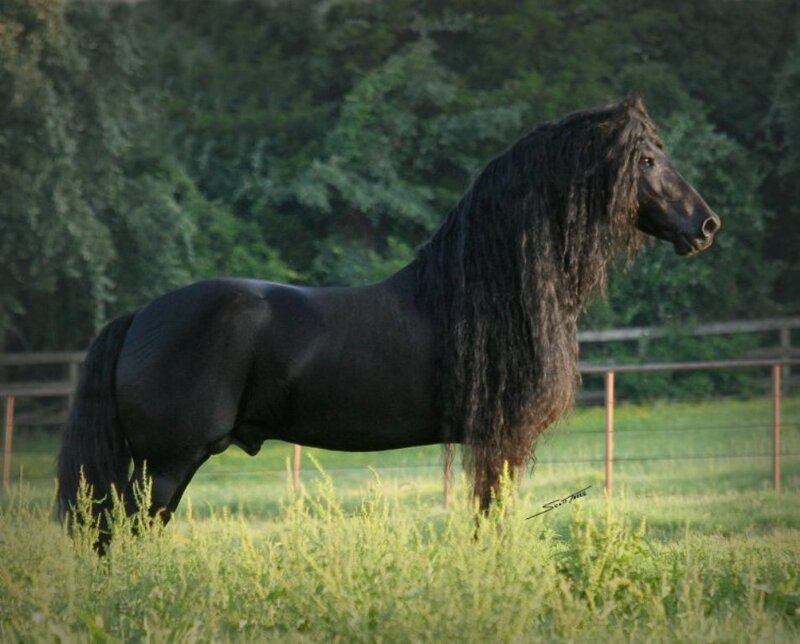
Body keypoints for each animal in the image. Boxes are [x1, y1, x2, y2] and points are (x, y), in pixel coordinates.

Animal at [57, 96, 720, 543]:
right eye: (648, 159)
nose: (706, 224)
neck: (487, 291)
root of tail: (141, 316)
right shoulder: (501, 441)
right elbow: (491, 525)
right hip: (167, 465)